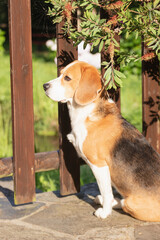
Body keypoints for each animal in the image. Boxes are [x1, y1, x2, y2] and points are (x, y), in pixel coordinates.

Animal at [43, 60, 160, 221]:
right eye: (60, 74)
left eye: (67, 78)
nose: (44, 86)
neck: (85, 112)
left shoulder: (99, 165)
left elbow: (106, 191)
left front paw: (105, 212)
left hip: (131, 203)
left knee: (123, 202)